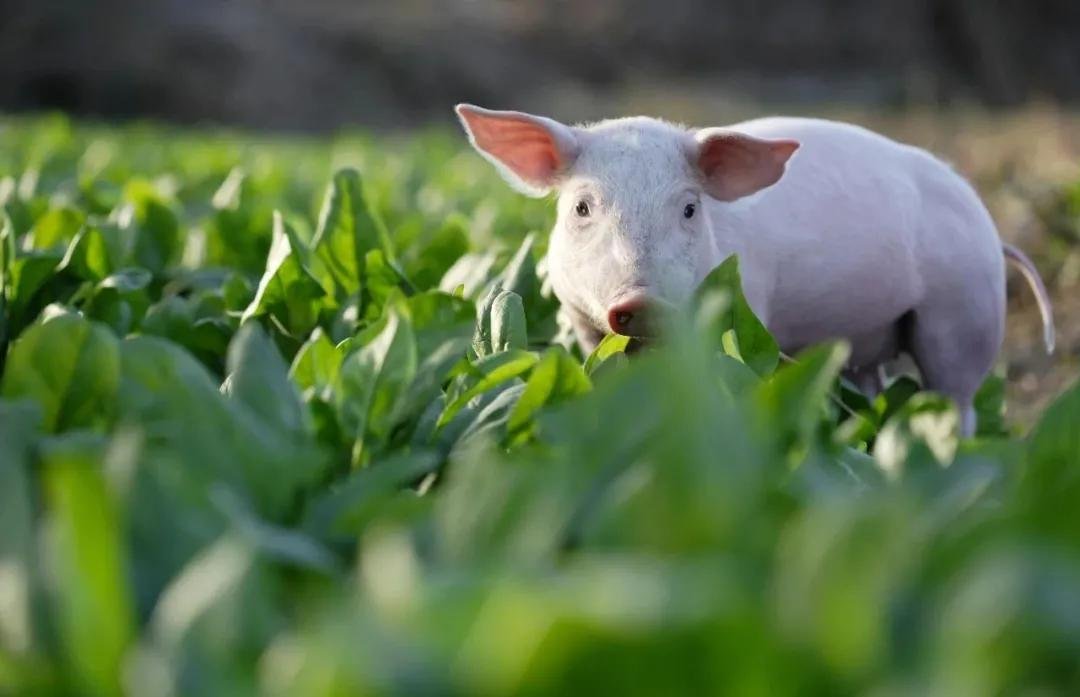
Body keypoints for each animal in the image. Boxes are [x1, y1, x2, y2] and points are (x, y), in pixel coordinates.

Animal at [453, 103, 1054, 434]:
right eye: (582, 207)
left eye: (689, 209)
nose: (641, 299)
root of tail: (992, 229)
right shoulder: (579, 322)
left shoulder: (745, 307)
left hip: (965, 313)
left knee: (958, 399)